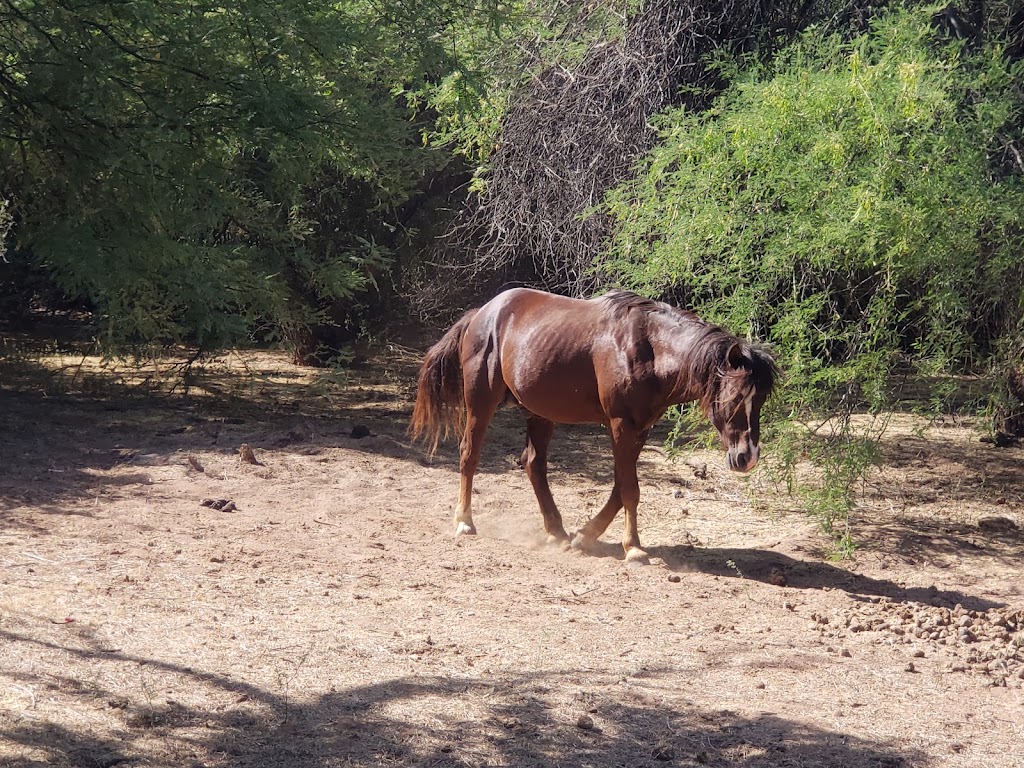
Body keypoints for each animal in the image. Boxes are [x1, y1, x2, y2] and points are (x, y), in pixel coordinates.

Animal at [407, 288, 774, 565]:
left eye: (762, 400)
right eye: (737, 396)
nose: (748, 457)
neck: (650, 349)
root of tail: (482, 313)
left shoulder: (639, 428)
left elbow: (620, 488)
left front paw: (585, 536)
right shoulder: (621, 425)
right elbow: (629, 489)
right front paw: (634, 548)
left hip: (541, 413)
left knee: (533, 465)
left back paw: (557, 531)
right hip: (481, 403)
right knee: (470, 455)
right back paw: (464, 522)